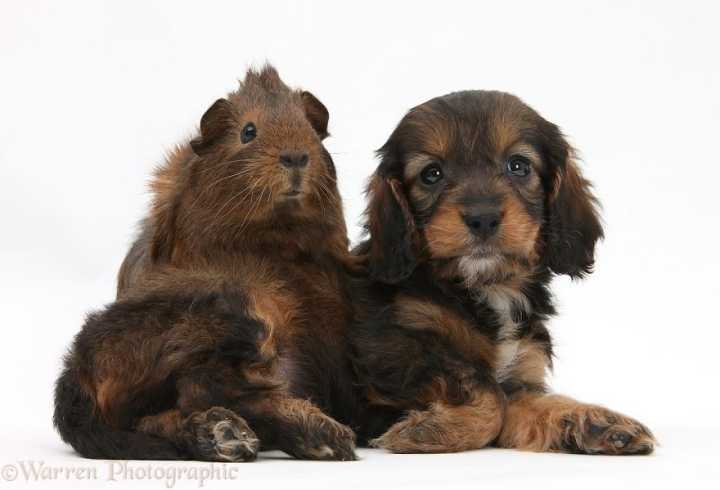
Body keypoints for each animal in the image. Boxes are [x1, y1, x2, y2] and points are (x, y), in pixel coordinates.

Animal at [54, 66, 358, 464]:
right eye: (248, 131)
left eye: (308, 128)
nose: (295, 156)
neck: (276, 242)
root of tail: (75, 372)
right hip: (249, 320)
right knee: (203, 390)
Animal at [352, 89, 656, 456]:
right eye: (431, 174)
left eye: (518, 165)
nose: (482, 218)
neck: (488, 287)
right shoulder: (391, 353)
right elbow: (485, 391)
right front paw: (430, 430)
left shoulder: (520, 375)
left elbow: (532, 404)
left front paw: (598, 422)